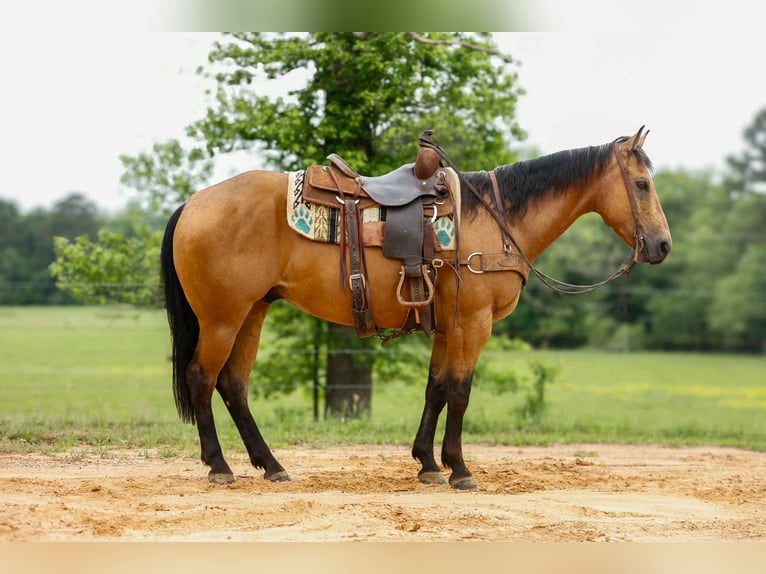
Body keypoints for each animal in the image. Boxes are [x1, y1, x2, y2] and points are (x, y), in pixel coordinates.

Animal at [160, 127, 672, 489]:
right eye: (642, 184)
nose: (663, 245)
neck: (496, 220)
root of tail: (192, 202)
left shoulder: (447, 326)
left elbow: (436, 389)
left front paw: (428, 463)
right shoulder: (472, 323)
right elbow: (460, 392)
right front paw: (460, 470)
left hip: (252, 312)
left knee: (234, 385)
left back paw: (271, 465)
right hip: (222, 318)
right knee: (202, 378)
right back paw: (220, 466)